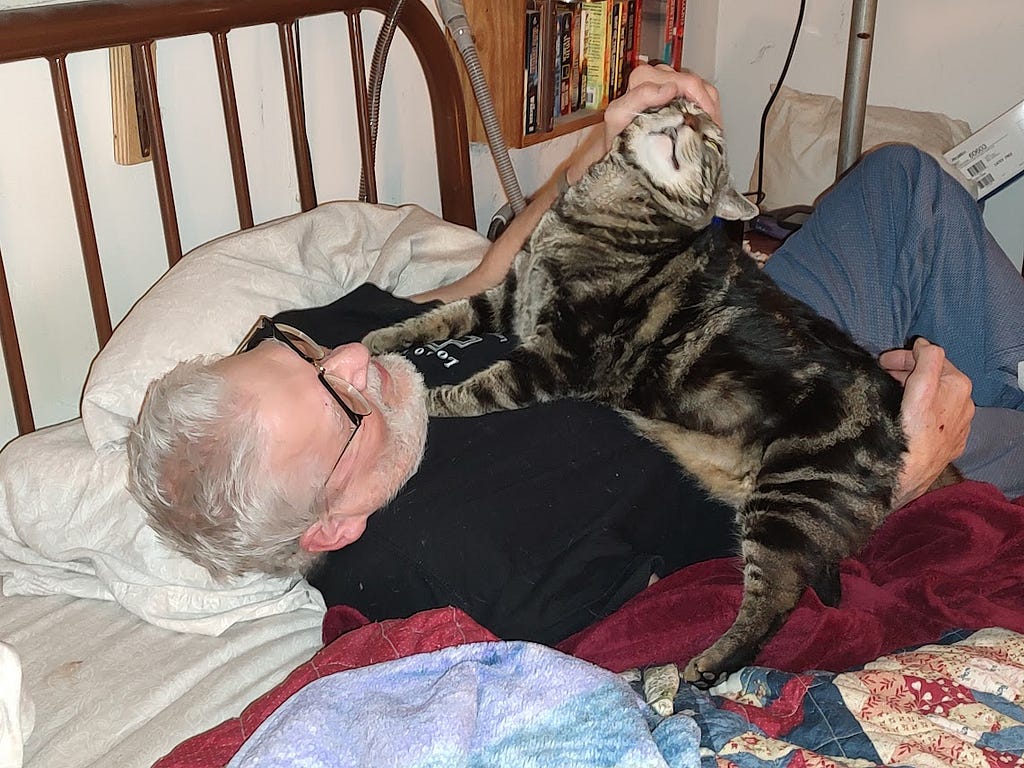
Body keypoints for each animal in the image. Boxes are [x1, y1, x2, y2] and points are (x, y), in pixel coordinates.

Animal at [366, 97, 913, 684]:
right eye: (683, 105)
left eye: (714, 142)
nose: (690, 118)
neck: (595, 213)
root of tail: (895, 427)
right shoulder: (508, 299)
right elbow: (440, 316)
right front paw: (377, 342)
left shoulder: (558, 357)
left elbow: (475, 388)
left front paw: (412, 400)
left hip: (789, 500)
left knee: (779, 598)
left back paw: (710, 663)